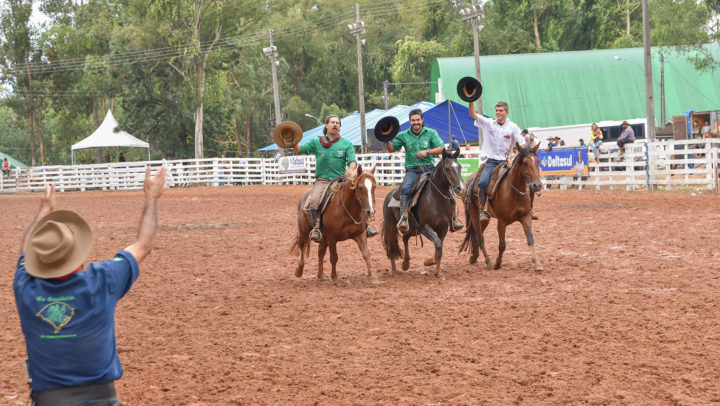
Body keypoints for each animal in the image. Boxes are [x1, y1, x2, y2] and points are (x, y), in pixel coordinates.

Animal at [380, 147, 464, 278]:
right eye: (447, 168)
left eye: (459, 167)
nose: (460, 188)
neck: (436, 198)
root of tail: (390, 194)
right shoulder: (425, 227)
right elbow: (438, 244)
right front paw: (430, 262)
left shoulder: (443, 227)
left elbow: (439, 246)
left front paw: (437, 271)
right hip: (392, 227)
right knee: (391, 245)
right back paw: (394, 270)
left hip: (413, 229)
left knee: (405, 238)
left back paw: (406, 263)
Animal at [462, 143, 544, 272]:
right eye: (525, 162)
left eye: (538, 161)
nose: (537, 185)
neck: (513, 191)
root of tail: (468, 181)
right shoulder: (501, 221)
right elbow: (502, 244)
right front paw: (497, 264)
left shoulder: (526, 217)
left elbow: (530, 239)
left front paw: (537, 264)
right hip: (474, 212)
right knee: (480, 237)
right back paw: (489, 262)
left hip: (484, 219)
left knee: (476, 235)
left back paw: (474, 257)